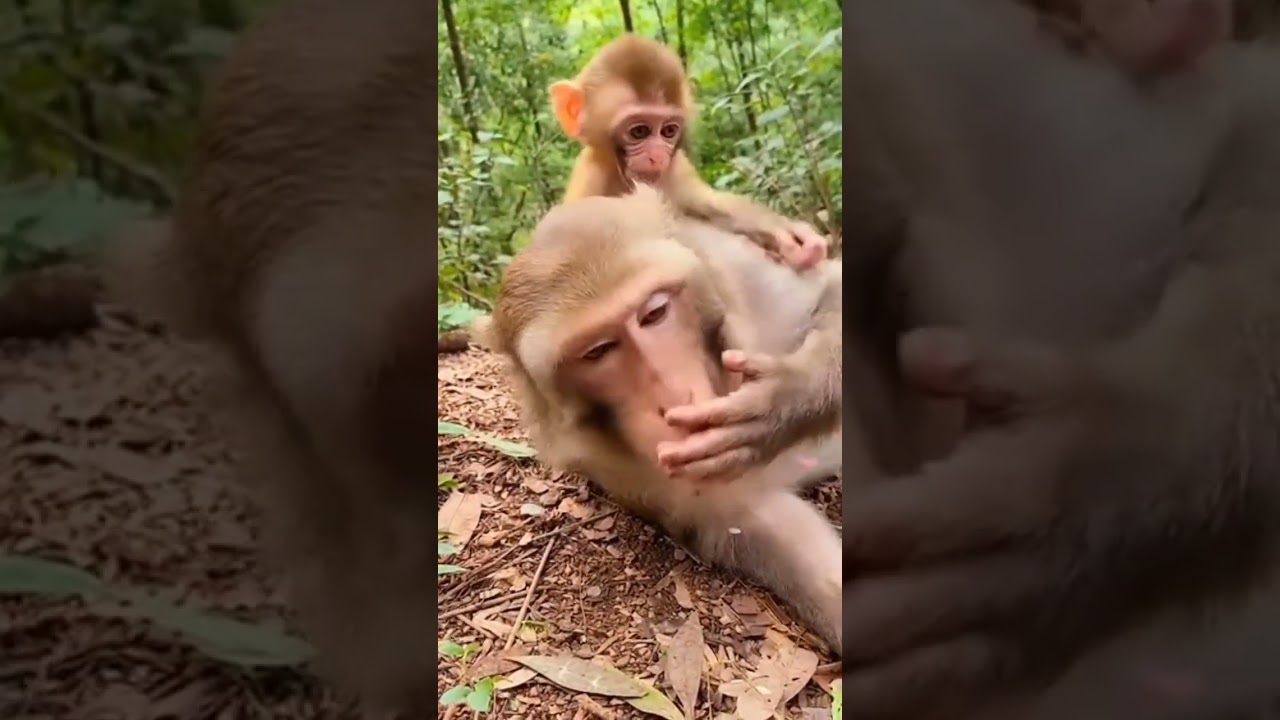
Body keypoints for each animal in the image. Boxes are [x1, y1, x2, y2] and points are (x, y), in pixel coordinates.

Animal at [478, 185, 847, 653]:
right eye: (598, 351)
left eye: (654, 313)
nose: (671, 398)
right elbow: (752, 518)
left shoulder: (746, 283)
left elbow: (831, 287)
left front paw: (785, 399)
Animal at [549, 34, 830, 272]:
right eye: (639, 131)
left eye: (668, 131)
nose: (657, 156)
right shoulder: (590, 186)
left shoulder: (676, 167)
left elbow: (708, 203)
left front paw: (789, 234)